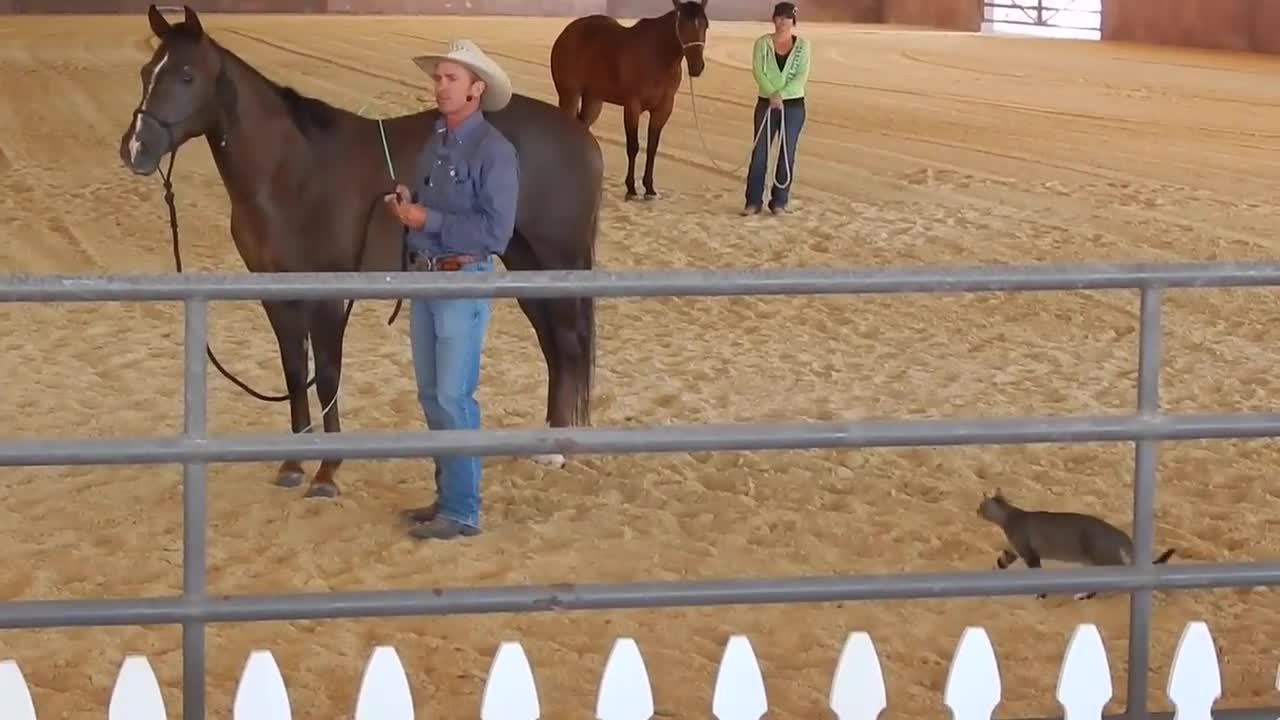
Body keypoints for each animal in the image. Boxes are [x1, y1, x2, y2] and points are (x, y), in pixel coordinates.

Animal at [120, 5, 599, 499]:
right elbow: (295, 372)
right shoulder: (276, 294)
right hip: (526, 263)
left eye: (187, 76)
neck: (291, 172)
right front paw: (293, 463)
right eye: (146, 72)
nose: (136, 148)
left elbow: (328, 375)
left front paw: (328, 471)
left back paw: (557, 450)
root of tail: (581, 136)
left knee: (567, 342)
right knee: (552, 345)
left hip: (557, 258)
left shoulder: (329, 296)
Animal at [550, 0, 711, 198]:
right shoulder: (632, 106)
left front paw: (649, 188)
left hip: (593, 100)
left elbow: (652, 147)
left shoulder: (663, 109)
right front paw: (631, 187)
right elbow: (633, 146)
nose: (697, 67)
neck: (656, 56)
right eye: (681, 25)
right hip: (570, 94)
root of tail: (566, 33)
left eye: (705, 25)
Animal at [983, 484, 1172, 597]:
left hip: (1102, 559)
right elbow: (1000, 563)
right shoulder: (1012, 550)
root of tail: (1117, 532)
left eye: (980, 507)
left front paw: (1040, 595)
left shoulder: (1029, 553)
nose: (977, 511)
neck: (1009, 516)